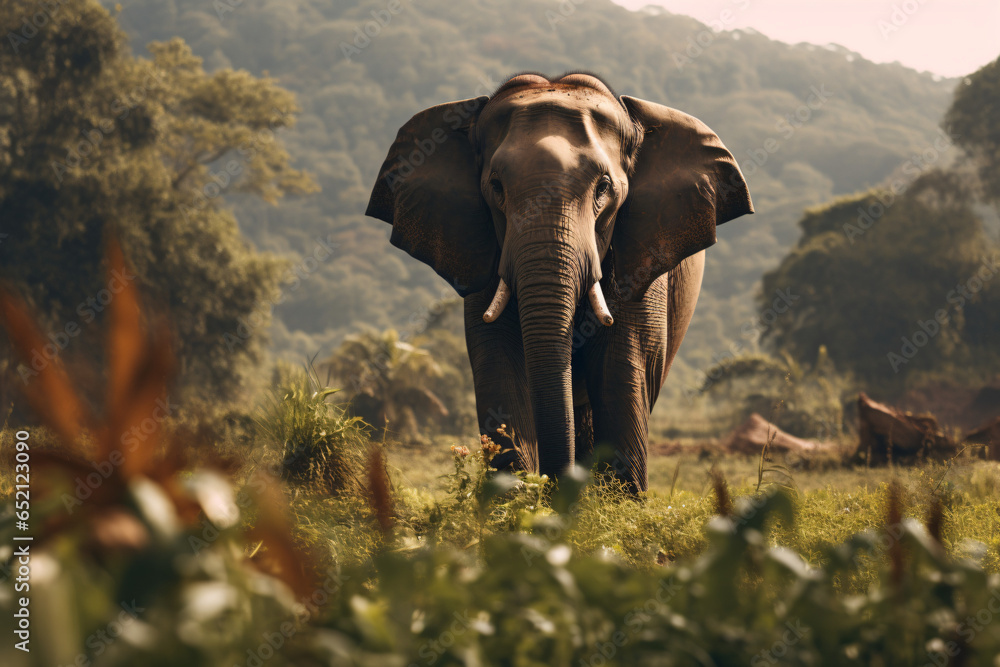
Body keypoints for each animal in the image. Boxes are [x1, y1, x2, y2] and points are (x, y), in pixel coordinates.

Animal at [366, 72, 753, 492]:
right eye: (496, 187)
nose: (554, 487)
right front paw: (514, 498)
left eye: (604, 188)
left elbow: (622, 366)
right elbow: (499, 362)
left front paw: (617, 501)